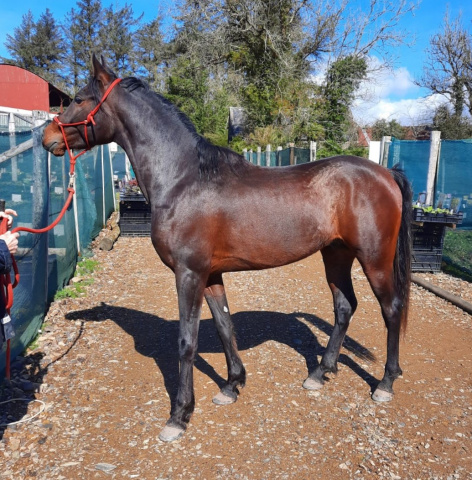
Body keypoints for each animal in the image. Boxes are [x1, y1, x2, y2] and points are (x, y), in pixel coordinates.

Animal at [44, 56, 412, 442]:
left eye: (80, 98)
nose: (47, 137)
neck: (184, 179)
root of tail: (385, 173)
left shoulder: (189, 274)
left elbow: (187, 341)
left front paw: (179, 415)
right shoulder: (211, 275)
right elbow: (224, 326)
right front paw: (232, 385)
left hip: (375, 260)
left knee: (391, 309)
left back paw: (385, 383)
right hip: (336, 254)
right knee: (344, 306)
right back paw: (320, 373)